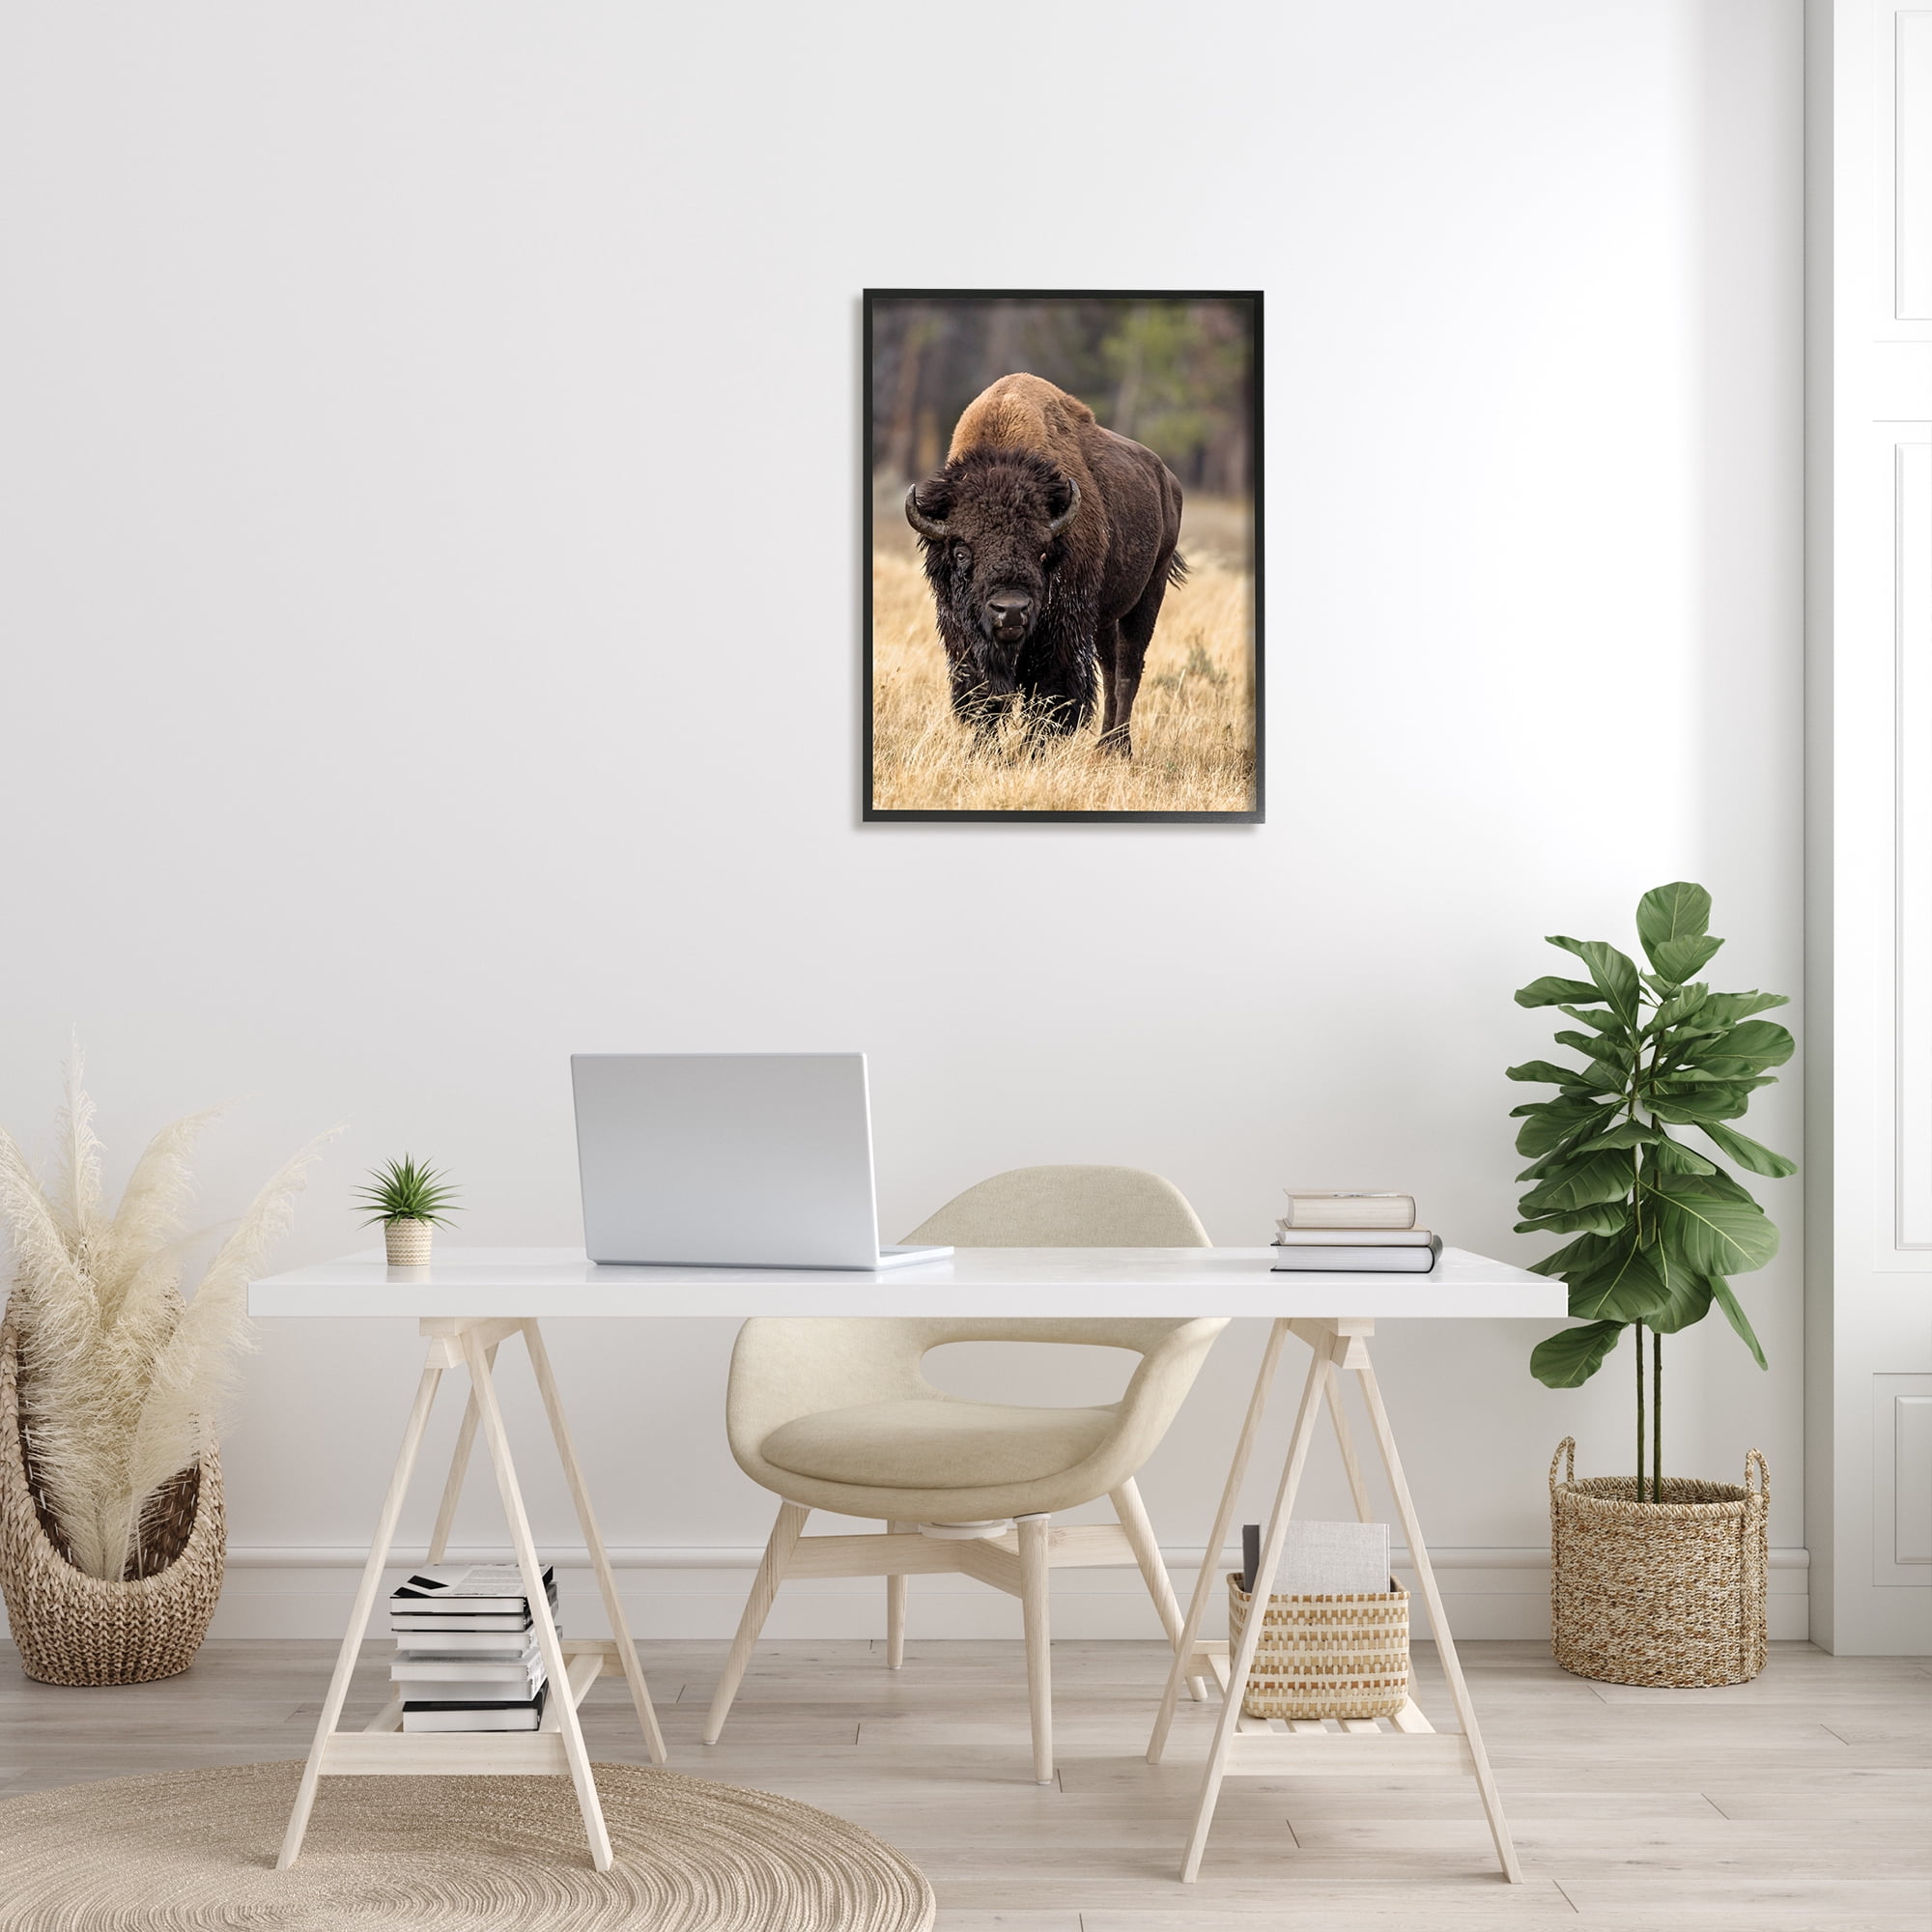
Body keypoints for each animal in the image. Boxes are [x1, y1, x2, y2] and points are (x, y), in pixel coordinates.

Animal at [905, 373, 1184, 757]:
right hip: (1105, 617)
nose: (1010, 610)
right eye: (961, 552)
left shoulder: (1062, 632)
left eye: (1041, 551)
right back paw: (1103, 746)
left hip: (1148, 594)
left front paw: (1031, 751)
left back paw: (1119, 748)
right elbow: (985, 693)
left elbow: (1050, 693)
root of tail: (1167, 481)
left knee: (1129, 669)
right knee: (1111, 668)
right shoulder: (964, 635)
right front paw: (984, 751)